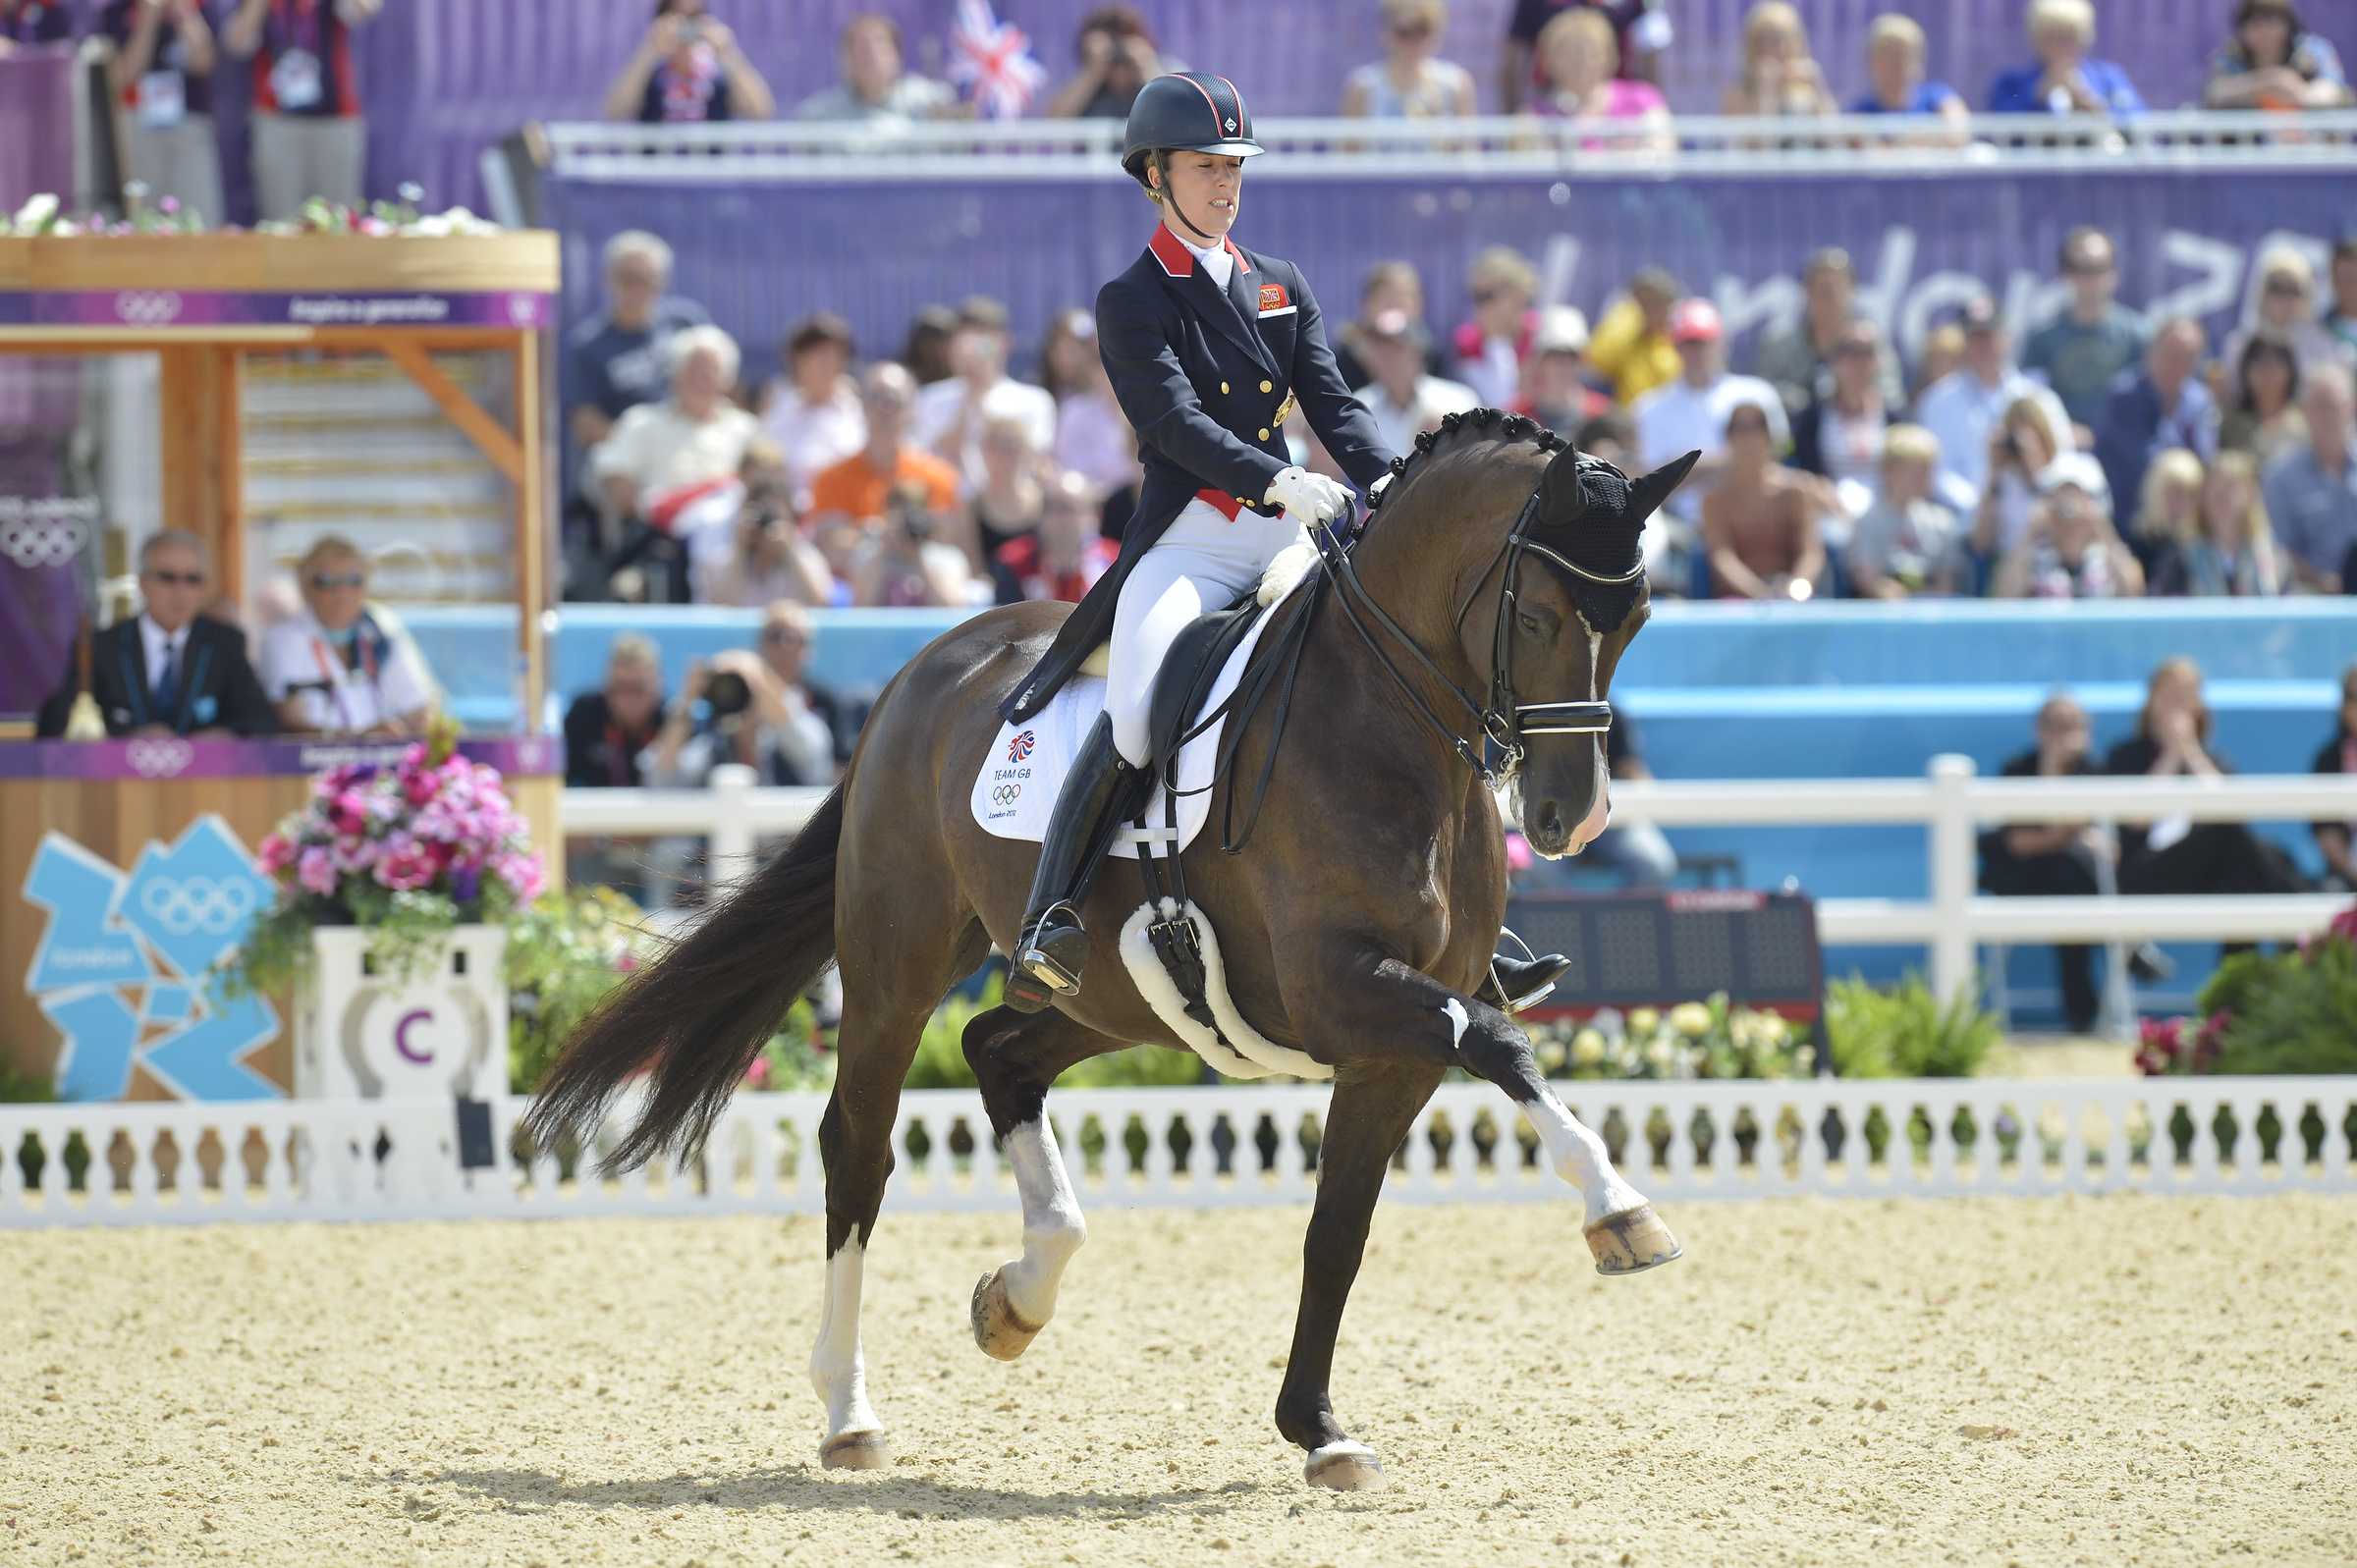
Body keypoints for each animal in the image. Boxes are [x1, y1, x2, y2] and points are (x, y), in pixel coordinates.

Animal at [534, 409, 1697, 1489]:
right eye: (1536, 613)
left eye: (1639, 617)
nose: (1574, 822)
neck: (1389, 723)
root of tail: (925, 669)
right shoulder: (1345, 991)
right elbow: (1500, 1041)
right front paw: (1622, 1209)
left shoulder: (1391, 1047)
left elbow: (1342, 1228)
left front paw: (1319, 1430)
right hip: (895, 967)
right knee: (858, 1145)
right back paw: (849, 1411)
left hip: (1115, 1000)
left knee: (998, 1049)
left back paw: (1020, 1293)